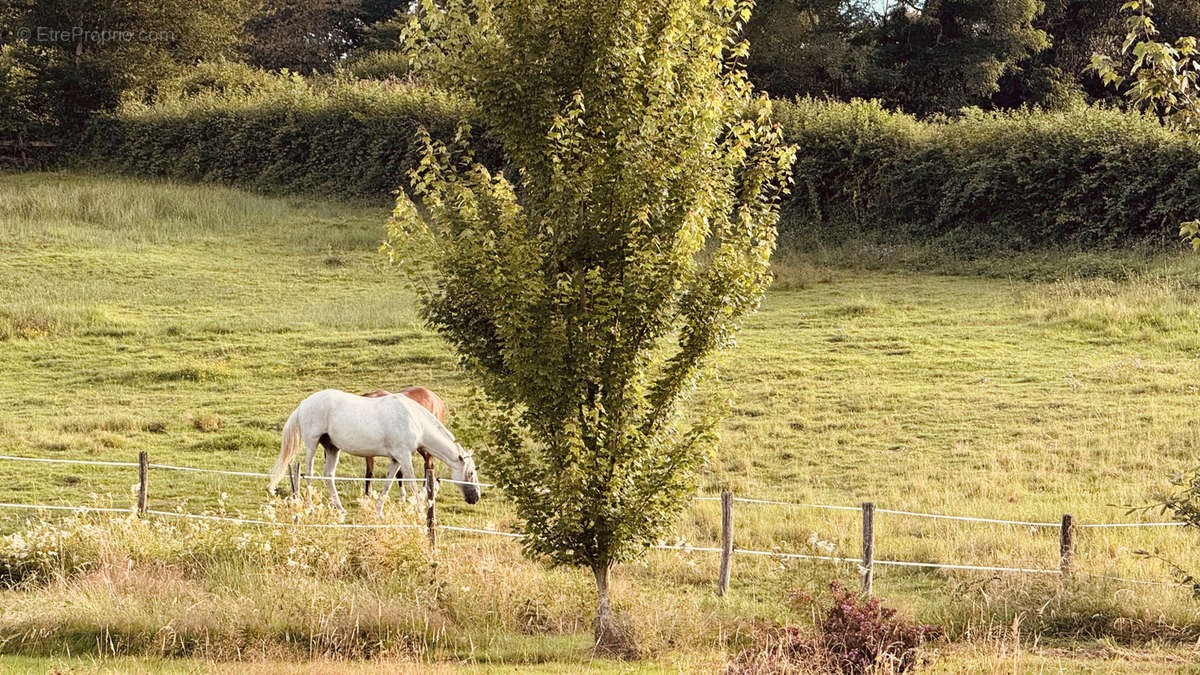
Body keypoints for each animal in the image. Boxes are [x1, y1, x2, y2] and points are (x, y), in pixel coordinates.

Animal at [270, 386, 480, 511]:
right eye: (470, 473)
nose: (476, 497)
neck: (414, 419)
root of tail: (304, 403)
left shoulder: (396, 459)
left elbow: (388, 483)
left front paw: (378, 510)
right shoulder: (404, 457)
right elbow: (411, 483)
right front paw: (420, 509)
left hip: (332, 448)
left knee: (328, 476)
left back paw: (340, 508)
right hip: (312, 444)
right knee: (309, 474)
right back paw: (310, 507)